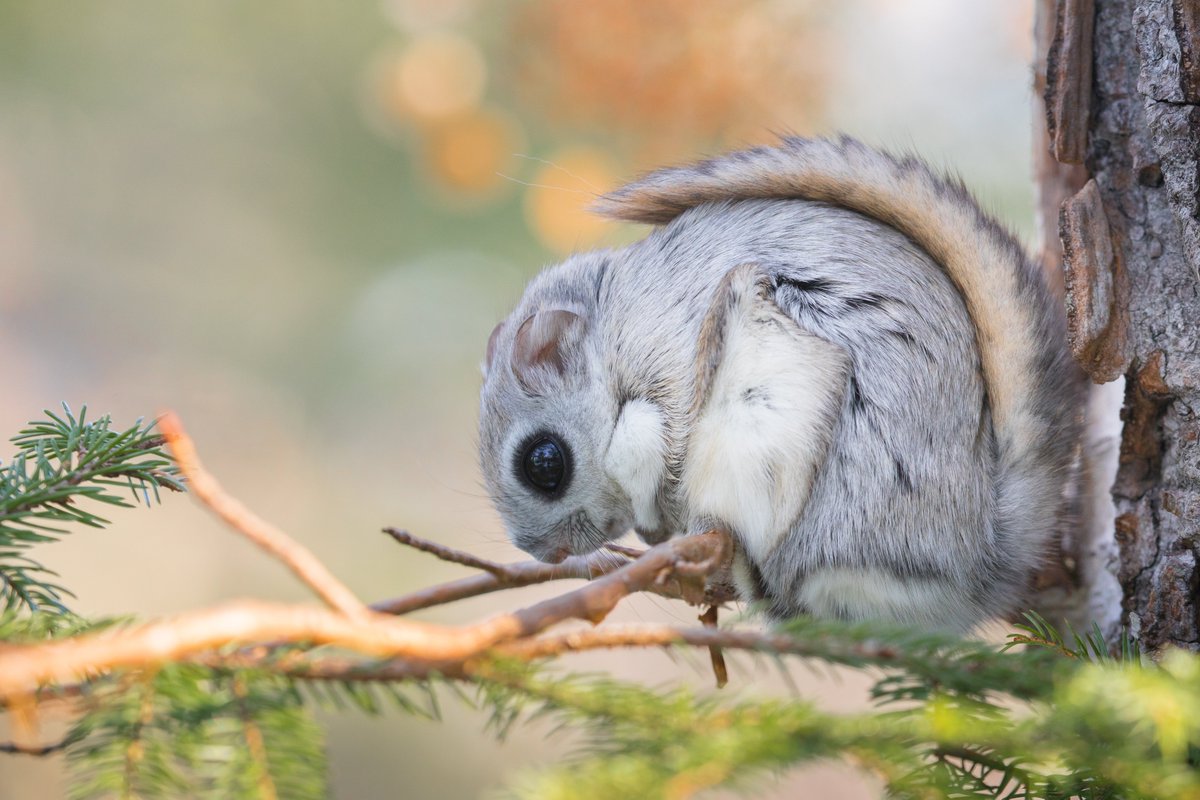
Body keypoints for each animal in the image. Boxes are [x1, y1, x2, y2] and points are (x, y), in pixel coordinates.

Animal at [472, 134, 1084, 628]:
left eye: (544, 463)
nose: (546, 554)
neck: (608, 344)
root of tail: (977, 561)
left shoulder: (667, 362)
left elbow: (665, 442)